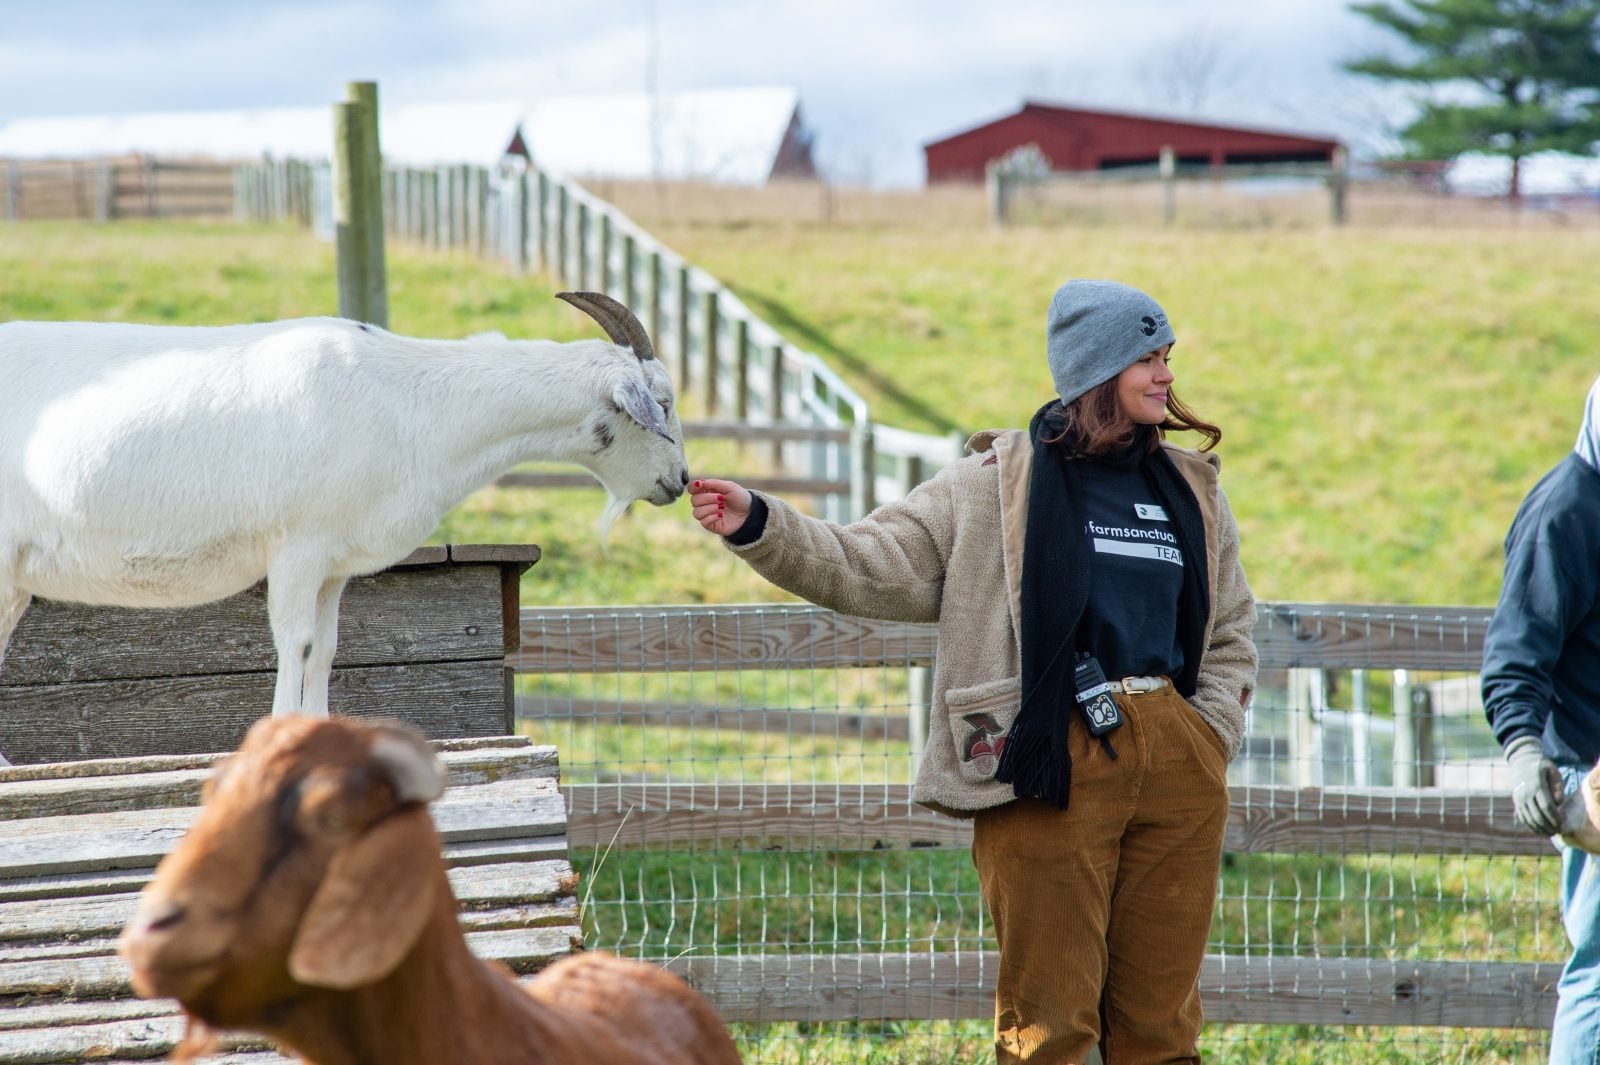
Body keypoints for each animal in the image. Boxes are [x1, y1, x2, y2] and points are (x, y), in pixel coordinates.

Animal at [0, 293, 688, 765]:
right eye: (664, 403)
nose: (680, 481)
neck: (411, 399)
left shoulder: (333, 562)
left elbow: (328, 648)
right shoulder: (297, 547)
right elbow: (296, 642)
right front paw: (279, 740)